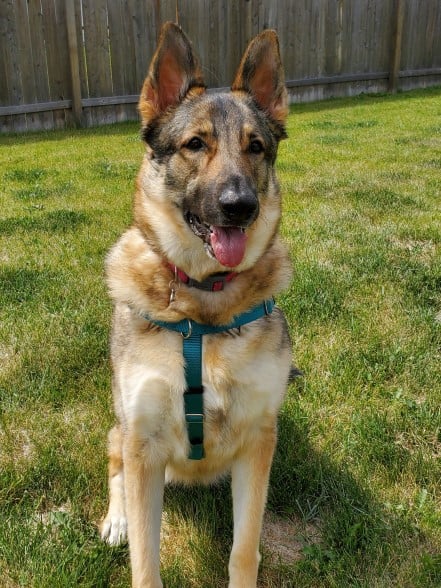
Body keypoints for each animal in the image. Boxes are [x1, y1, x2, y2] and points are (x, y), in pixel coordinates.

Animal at [100, 20, 292, 584]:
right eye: (194, 144)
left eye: (256, 147)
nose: (240, 207)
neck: (204, 300)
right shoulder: (142, 442)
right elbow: (146, 560)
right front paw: (130, 528)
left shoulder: (259, 439)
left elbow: (244, 547)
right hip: (119, 427)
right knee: (113, 461)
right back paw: (116, 519)